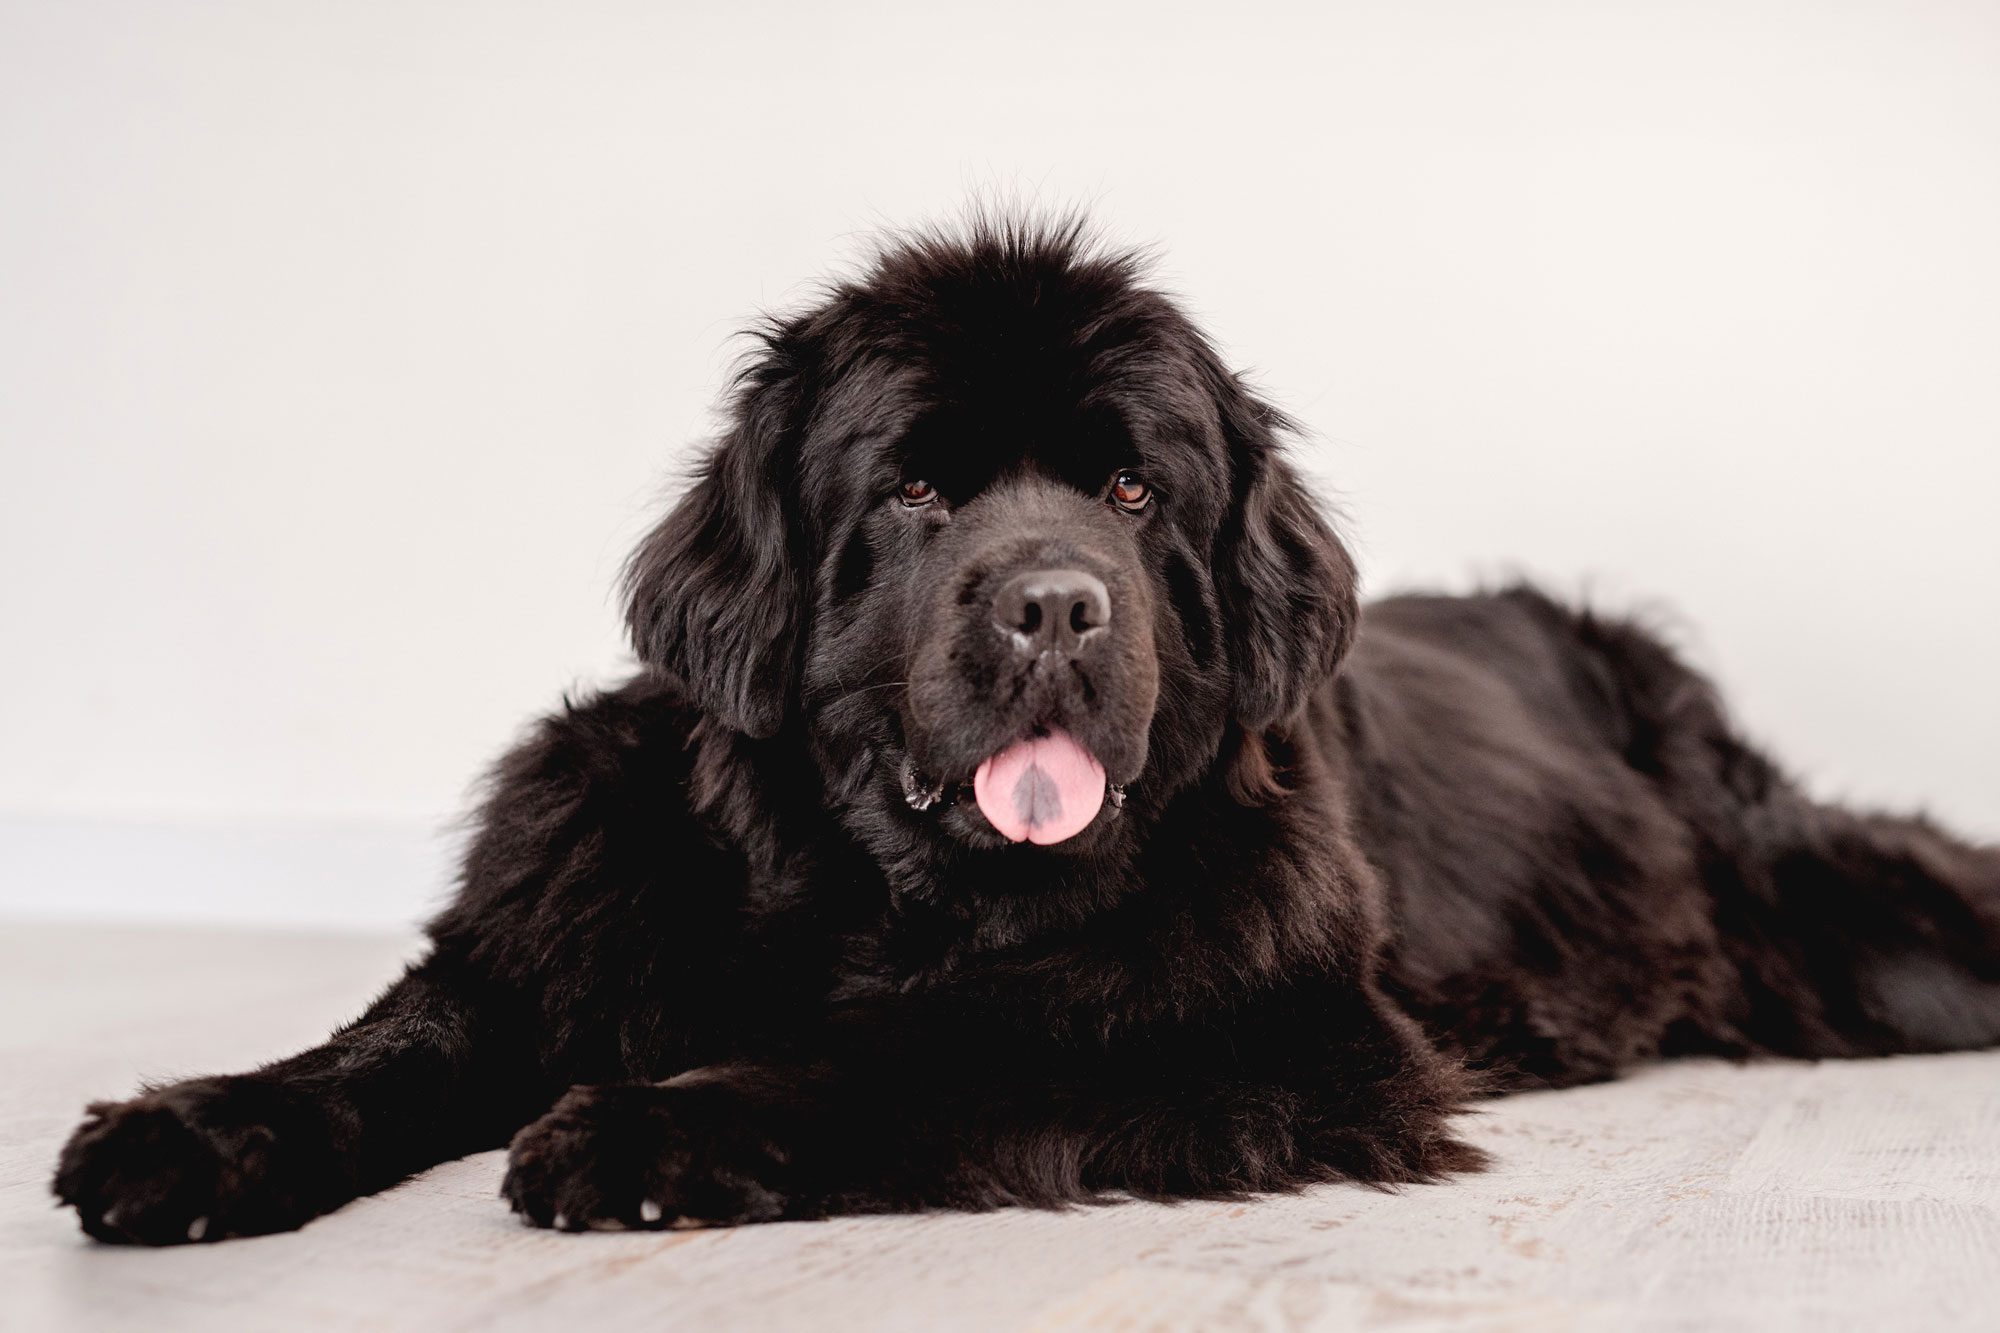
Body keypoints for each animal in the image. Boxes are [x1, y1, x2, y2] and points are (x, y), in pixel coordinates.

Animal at [54, 213, 2000, 1240]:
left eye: (1135, 489)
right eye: (916, 490)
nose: (1056, 601)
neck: (853, 890)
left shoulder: (1272, 1034)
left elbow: (941, 1048)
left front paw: (652, 1128)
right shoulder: (559, 925)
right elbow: (391, 1042)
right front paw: (192, 1128)